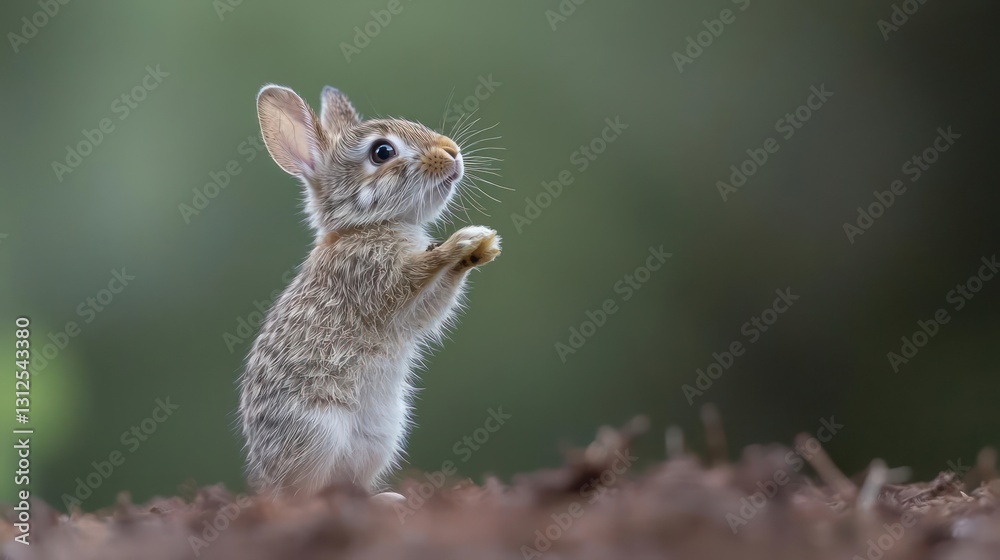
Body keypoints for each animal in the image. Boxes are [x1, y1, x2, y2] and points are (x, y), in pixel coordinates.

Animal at [238, 84, 501, 497]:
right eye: (382, 152)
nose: (451, 151)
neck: (367, 226)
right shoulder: (371, 279)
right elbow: (412, 276)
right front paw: (460, 243)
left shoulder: (413, 311)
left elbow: (433, 306)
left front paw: (479, 248)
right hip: (319, 432)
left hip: (380, 436)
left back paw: (386, 499)